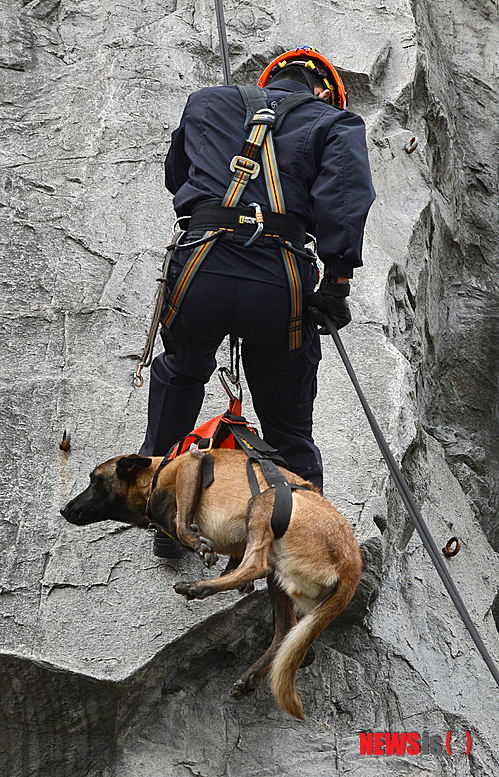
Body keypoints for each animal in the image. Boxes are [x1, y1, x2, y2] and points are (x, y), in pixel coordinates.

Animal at [61, 448, 364, 720]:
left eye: (95, 480)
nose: (64, 509)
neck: (154, 472)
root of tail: (352, 564)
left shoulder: (190, 464)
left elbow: (183, 525)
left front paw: (199, 545)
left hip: (264, 501)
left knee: (255, 565)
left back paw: (197, 587)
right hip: (279, 575)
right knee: (284, 628)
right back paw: (251, 674)